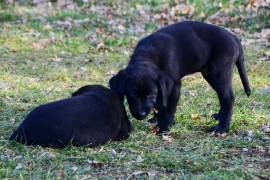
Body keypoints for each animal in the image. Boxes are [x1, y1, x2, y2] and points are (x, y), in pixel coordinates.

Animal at [109, 20, 251, 134]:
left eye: (151, 94)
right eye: (132, 94)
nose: (141, 114)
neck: (147, 57)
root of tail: (233, 36)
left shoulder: (173, 87)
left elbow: (168, 108)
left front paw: (164, 127)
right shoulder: (162, 88)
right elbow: (159, 104)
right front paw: (156, 119)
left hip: (219, 72)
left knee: (228, 97)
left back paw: (222, 127)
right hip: (210, 74)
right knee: (223, 96)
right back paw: (219, 117)